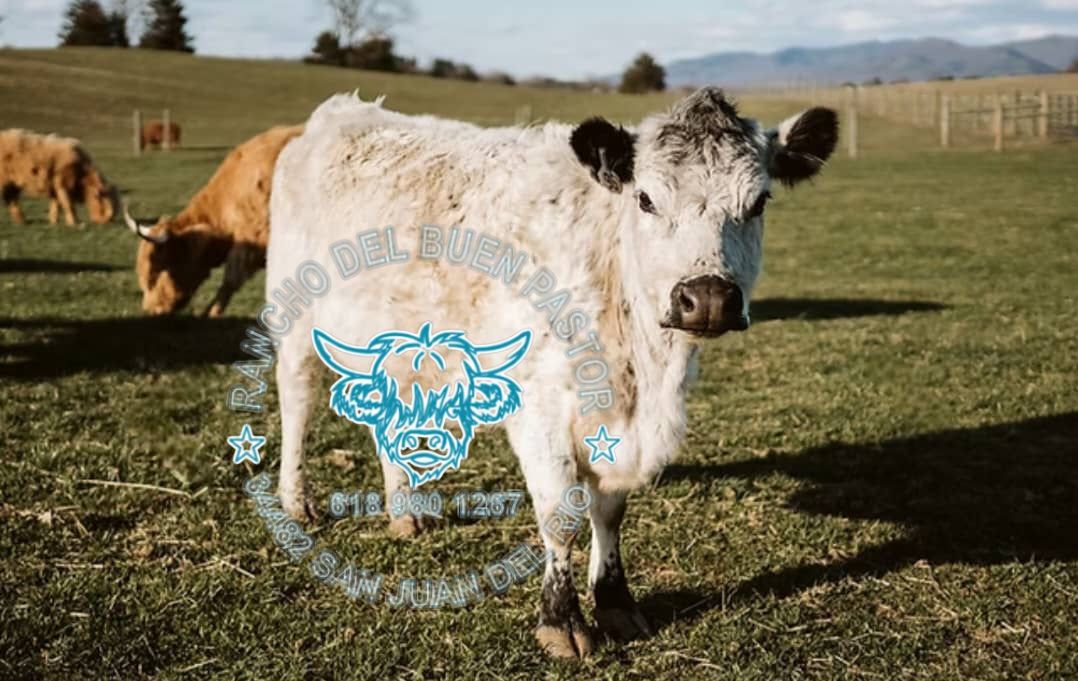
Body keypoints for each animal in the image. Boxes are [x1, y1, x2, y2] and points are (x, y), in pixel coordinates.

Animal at [267, 88, 838, 657]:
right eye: (646, 199)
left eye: (758, 202)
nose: (710, 298)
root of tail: (341, 113)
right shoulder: (540, 407)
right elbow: (561, 515)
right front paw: (560, 620)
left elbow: (610, 512)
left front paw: (615, 603)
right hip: (295, 324)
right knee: (297, 403)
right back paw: (297, 501)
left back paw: (405, 511)